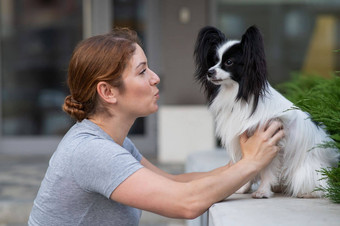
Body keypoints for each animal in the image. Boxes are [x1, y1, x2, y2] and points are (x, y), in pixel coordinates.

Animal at [194, 25, 340, 198]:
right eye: (214, 61)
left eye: (229, 62)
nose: (209, 72)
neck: (238, 94)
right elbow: (247, 166)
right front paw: (243, 188)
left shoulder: (274, 144)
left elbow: (266, 171)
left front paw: (263, 191)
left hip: (305, 171)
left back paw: (306, 193)